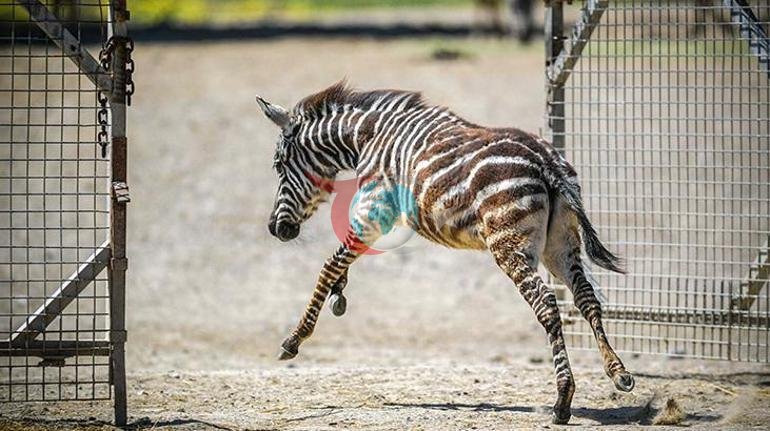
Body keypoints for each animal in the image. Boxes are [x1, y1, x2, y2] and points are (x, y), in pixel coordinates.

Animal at [256, 82, 634, 424]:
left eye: (279, 165)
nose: (276, 229)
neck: (367, 136)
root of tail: (547, 162)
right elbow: (342, 260)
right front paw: (339, 294)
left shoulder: (375, 208)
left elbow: (329, 264)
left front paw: (295, 338)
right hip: (559, 245)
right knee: (587, 299)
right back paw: (617, 372)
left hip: (509, 244)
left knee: (547, 306)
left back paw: (562, 400)